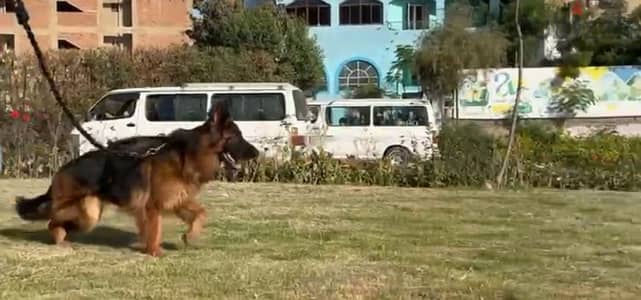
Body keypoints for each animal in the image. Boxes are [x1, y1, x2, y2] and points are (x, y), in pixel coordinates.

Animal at [13, 102, 258, 255]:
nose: (257, 153)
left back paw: (62, 240)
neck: (188, 154)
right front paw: (154, 252)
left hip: (88, 213)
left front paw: (190, 236)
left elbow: (201, 213)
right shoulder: (152, 206)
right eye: (236, 137)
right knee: (51, 218)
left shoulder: (176, 200)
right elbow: (155, 230)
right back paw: (58, 238)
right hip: (84, 213)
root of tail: (61, 171)